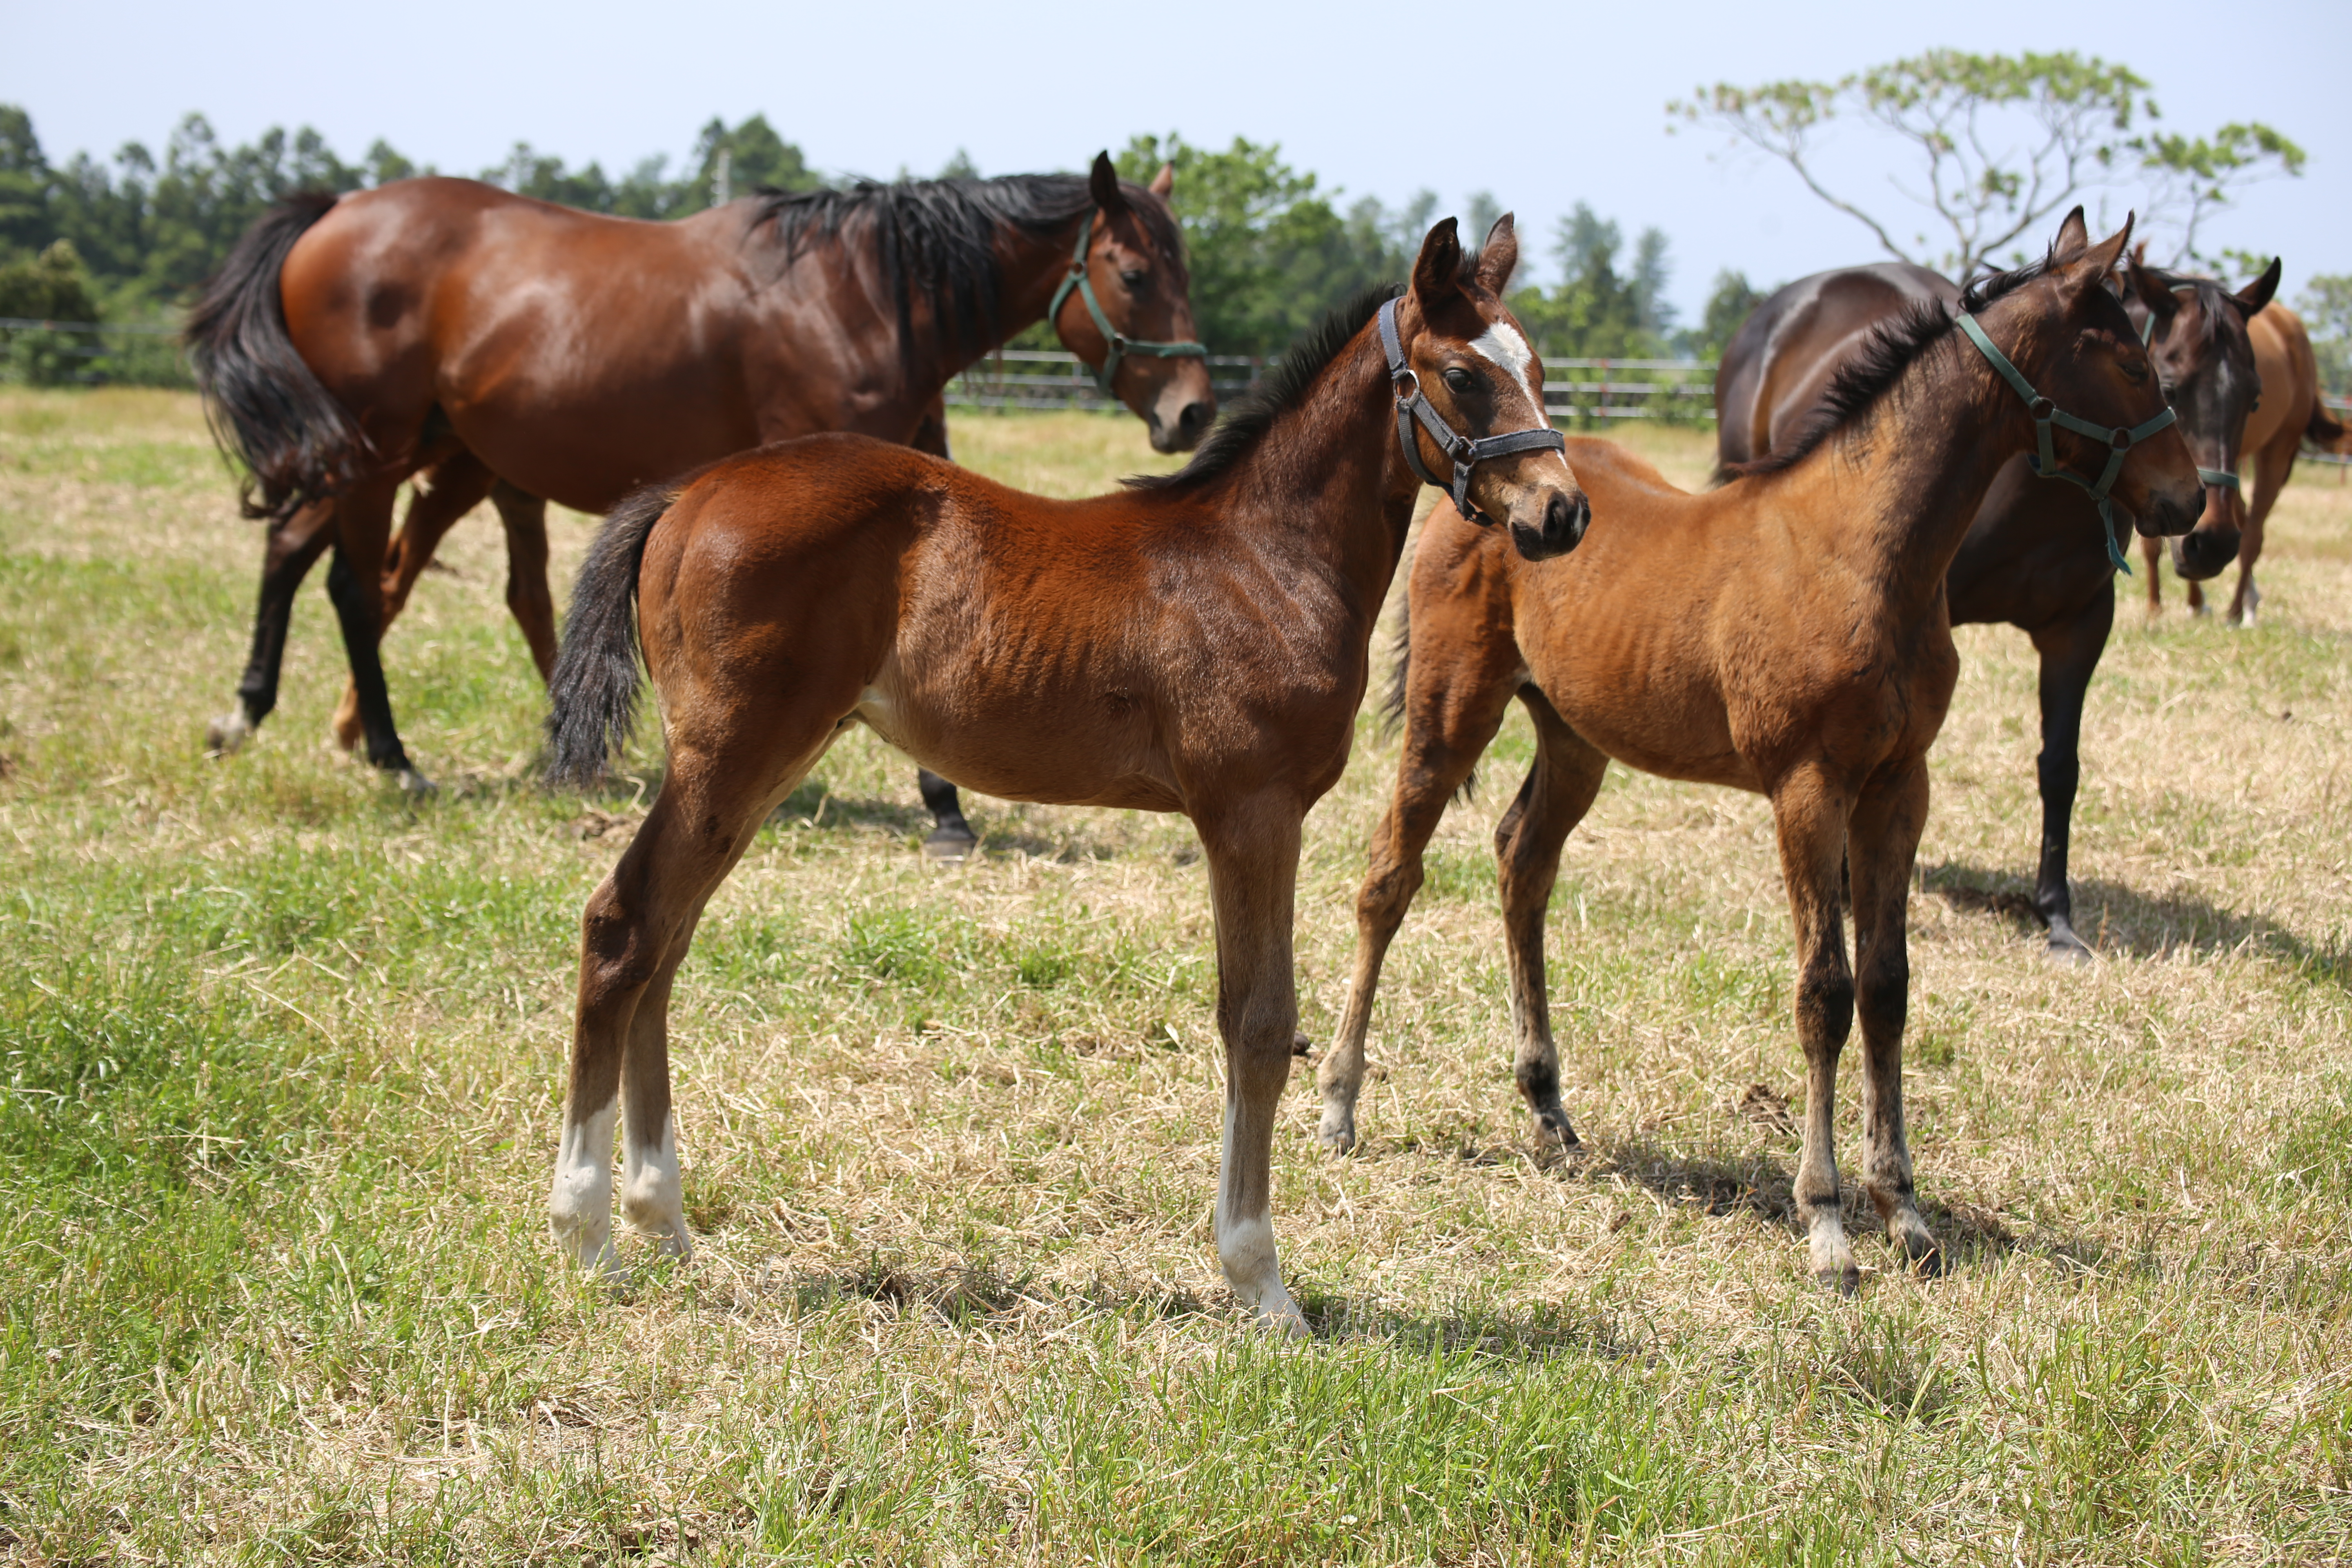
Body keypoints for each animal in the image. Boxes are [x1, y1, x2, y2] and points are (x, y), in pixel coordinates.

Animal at [188, 156, 1214, 822]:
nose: (1194, 411)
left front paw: (945, 803)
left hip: (412, 457)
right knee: (357, 588)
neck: (856, 294)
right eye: (1132, 272)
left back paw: (252, 715)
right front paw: (943, 805)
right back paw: (394, 760)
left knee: (300, 555)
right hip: (378, 453)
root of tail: (335, 211)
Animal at [541, 215, 1590, 1335]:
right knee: (624, 926)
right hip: (730, 756)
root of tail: (686, 491)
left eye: (1537, 368)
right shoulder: (1252, 811)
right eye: (1460, 375)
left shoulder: (1256, 816)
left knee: (665, 943)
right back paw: (589, 1231)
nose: (1561, 514)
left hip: (758, 765)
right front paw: (1261, 1283)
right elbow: (1259, 1023)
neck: (1264, 558)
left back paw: (662, 1220)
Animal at [1317, 215, 2192, 1297]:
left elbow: (1887, 985)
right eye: (2130, 361)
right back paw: (1339, 1102)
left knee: (1522, 863)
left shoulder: (1899, 785)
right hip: (1452, 710)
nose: (2189, 499)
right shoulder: (1807, 787)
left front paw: (1905, 1211)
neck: (1862, 553)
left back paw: (1549, 1107)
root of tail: (1478, 495)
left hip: (1575, 736)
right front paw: (1826, 1223)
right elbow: (1823, 991)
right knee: (1388, 877)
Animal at [1712, 255, 2276, 959]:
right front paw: (1846, 889)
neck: (2039, 488)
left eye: (2253, 397)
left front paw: (2055, 914)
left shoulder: (2080, 628)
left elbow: (2060, 766)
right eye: (2159, 375)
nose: (2208, 528)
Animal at [2145, 296, 2342, 625]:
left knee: (2252, 533)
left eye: (2255, 400)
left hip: (2277, 452)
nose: (2214, 546)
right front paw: (2158, 609)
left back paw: (2239, 610)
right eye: (2168, 391)